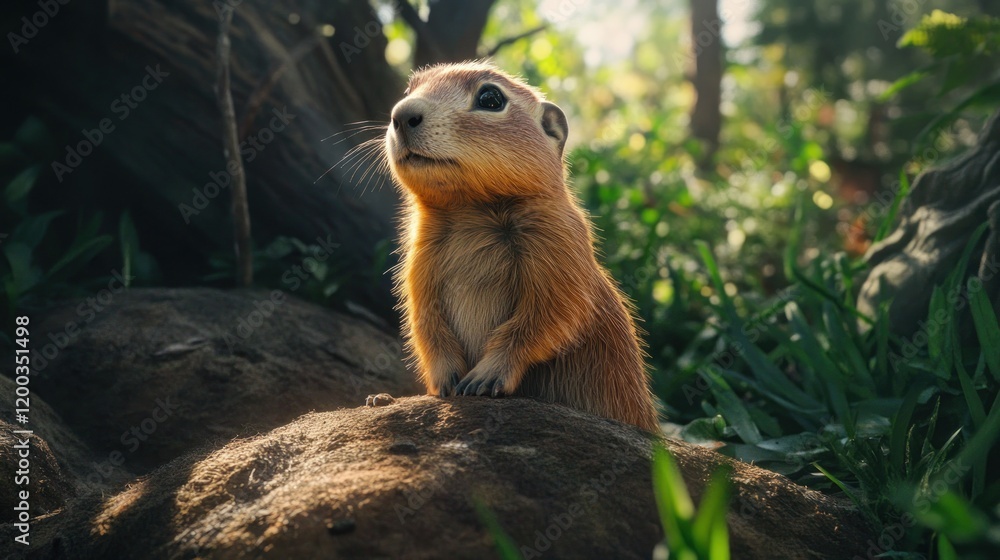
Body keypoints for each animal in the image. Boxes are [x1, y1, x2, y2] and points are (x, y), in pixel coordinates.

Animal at [384, 61, 659, 433]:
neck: (472, 208)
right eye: (407, 90)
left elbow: (546, 317)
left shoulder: (559, 243)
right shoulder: (418, 259)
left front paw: (482, 379)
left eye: (490, 98)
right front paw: (446, 380)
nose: (402, 113)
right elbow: (424, 319)